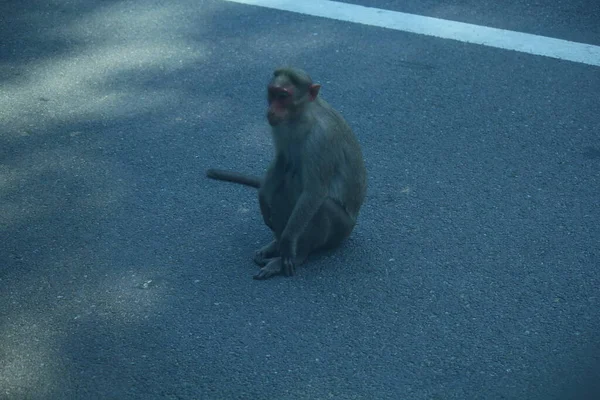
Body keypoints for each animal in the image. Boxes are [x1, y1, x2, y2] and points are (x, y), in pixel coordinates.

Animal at [205, 67, 366, 280]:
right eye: (272, 94)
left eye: (283, 96)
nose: (271, 110)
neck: (301, 118)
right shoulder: (279, 127)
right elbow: (282, 160)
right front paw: (263, 198)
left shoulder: (322, 138)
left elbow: (315, 191)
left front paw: (288, 242)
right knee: (285, 179)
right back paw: (275, 245)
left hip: (342, 230)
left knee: (317, 202)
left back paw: (297, 254)